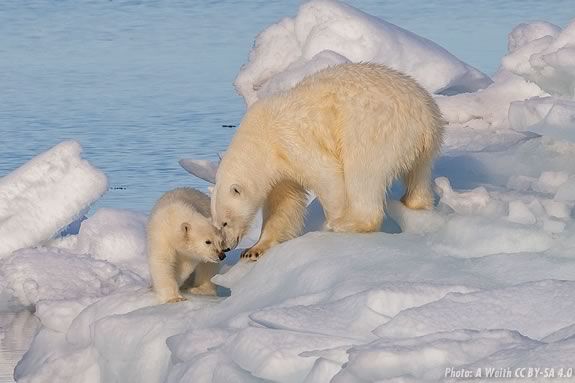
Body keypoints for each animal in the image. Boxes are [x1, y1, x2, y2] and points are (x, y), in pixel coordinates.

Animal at [213, 63, 446, 260]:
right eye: (215, 223)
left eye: (225, 222)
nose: (226, 247)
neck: (261, 138)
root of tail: (426, 118)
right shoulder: (280, 169)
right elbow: (283, 204)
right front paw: (255, 249)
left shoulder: (291, 140)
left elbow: (327, 175)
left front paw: (335, 219)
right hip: (422, 146)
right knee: (419, 175)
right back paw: (414, 202)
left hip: (373, 130)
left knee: (363, 174)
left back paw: (348, 224)